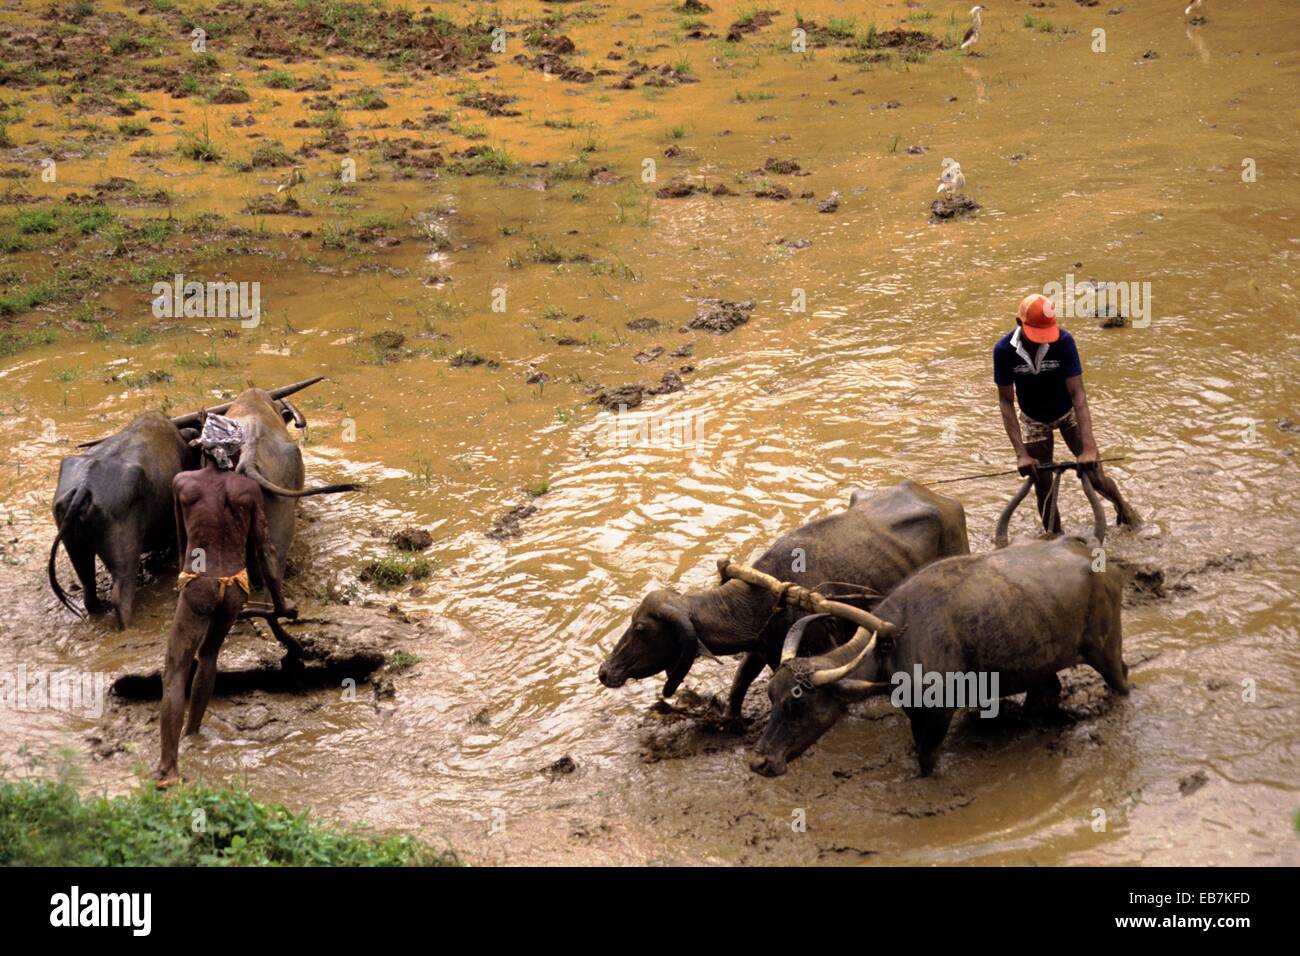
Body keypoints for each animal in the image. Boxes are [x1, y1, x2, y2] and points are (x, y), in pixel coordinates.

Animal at [595, 486, 967, 717]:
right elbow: (738, 685)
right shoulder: (761, 649)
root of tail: (944, 501)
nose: (604, 672)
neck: (766, 598)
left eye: (641, 629)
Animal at [748, 538, 1133, 780]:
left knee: (1122, 680)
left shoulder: (938, 714)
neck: (894, 644)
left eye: (798, 703)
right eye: (771, 696)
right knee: (1047, 693)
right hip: (1040, 665)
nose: (759, 761)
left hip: (1106, 650)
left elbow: (926, 760)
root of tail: (1104, 564)